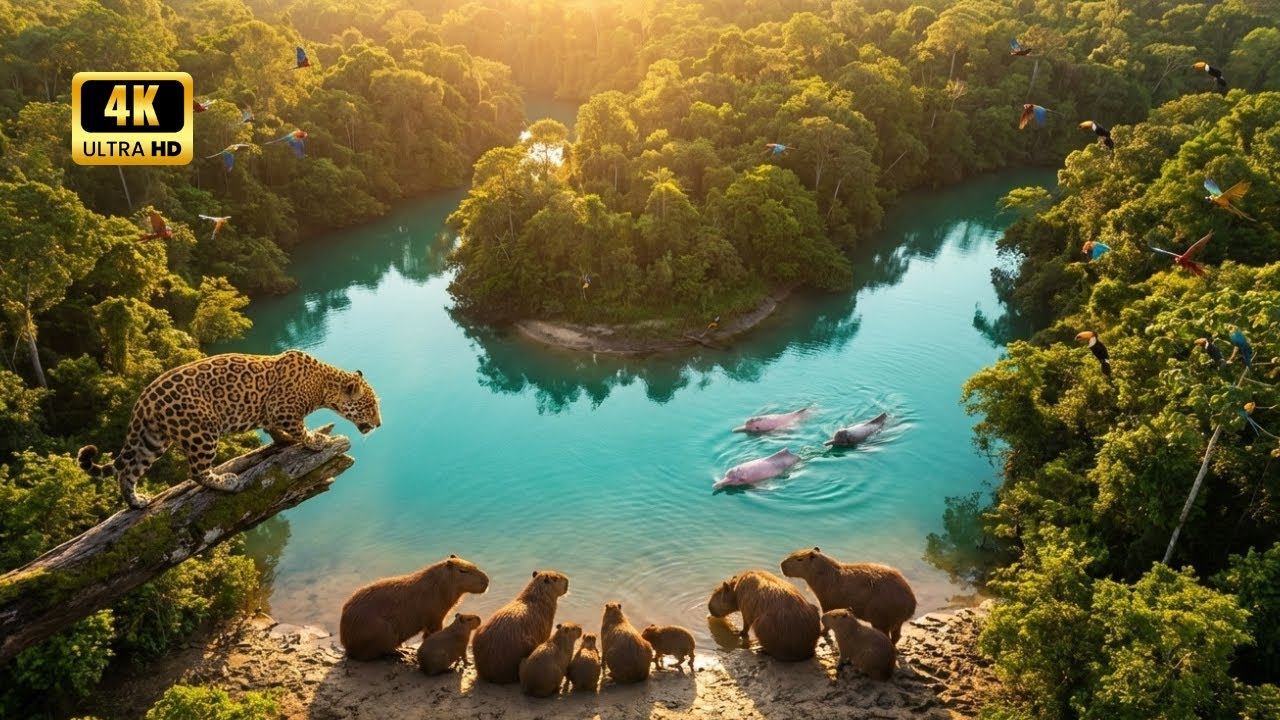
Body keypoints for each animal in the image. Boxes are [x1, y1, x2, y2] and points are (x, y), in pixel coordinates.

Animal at [78, 350, 381, 509]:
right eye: (370, 406)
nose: (379, 424)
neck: (325, 386)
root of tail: (142, 401)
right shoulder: (282, 409)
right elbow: (300, 429)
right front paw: (315, 441)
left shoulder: (271, 414)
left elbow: (276, 431)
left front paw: (284, 441)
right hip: (201, 431)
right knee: (196, 472)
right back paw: (226, 482)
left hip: (153, 440)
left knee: (128, 471)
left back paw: (136, 502)